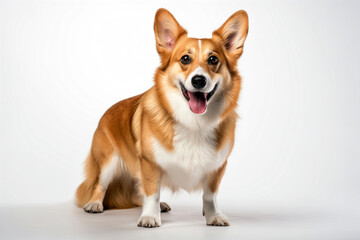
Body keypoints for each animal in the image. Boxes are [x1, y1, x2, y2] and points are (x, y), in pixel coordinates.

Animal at [75, 8, 250, 228]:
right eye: (185, 59)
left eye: (213, 60)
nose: (199, 80)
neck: (194, 122)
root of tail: (106, 112)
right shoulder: (149, 164)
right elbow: (152, 192)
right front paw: (150, 217)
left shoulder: (217, 167)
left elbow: (210, 195)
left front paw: (213, 216)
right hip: (108, 162)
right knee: (101, 184)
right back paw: (95, 204)